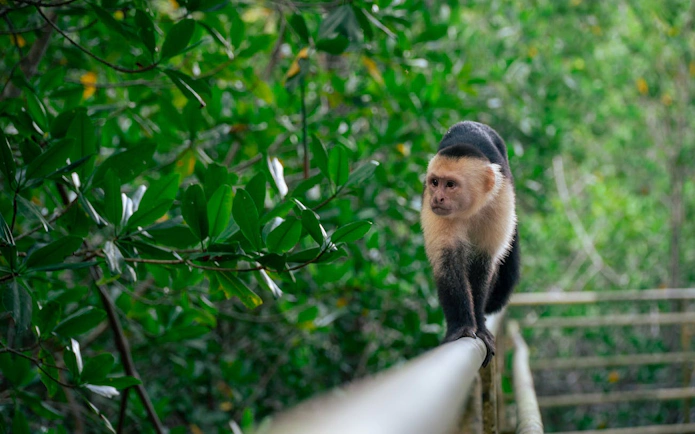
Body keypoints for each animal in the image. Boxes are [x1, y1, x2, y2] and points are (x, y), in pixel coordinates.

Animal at [420, 121, 520, 368]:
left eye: (450, 185)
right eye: (435, 182)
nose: (438, 198)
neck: (470, 208)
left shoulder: (501, 199)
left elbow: (485, 261)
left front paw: (480, 327)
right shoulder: (433, 209)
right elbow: (447, 261)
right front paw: (462, 327)